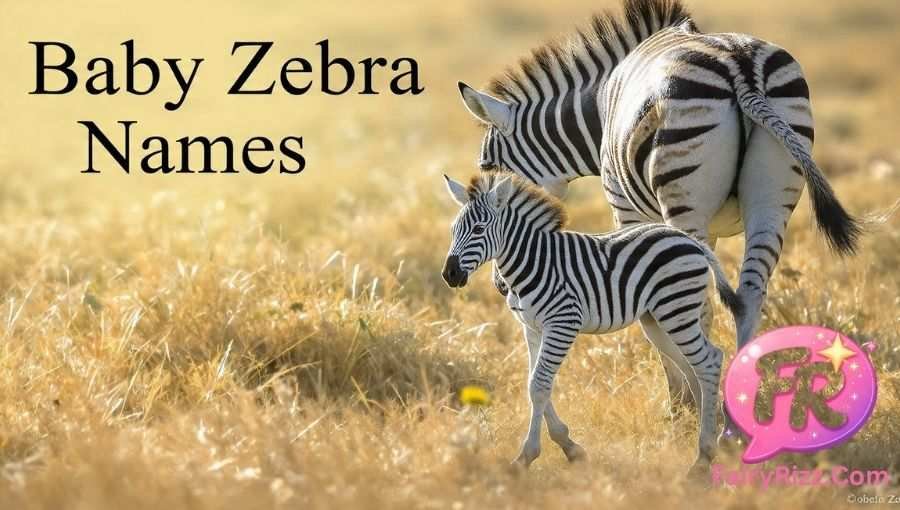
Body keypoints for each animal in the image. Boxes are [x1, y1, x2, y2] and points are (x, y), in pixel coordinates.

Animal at [440, 171, 744, 474]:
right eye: (454, 229)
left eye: (479, 229)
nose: (449, 274)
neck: (533, 262)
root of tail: (690, 240)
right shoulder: (532, 328)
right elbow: (533, 382)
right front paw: (569, 446)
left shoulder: (563, 323)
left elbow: (539, 385)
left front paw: (527, 456)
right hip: (657, 319)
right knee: (694, 366)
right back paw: (708, 436)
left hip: (676, 308)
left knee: (709, 360)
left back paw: (704, 457)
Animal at [455, 0, 860, 415]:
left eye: (488, 168)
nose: (500, 286)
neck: (600, 108)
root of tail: (740, 65)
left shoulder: (624, 207)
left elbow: (649, 308)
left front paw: (682, 404)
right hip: (773, 196)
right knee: (748, 296)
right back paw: (741, 403)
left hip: (683, 192)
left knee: (702, 306)